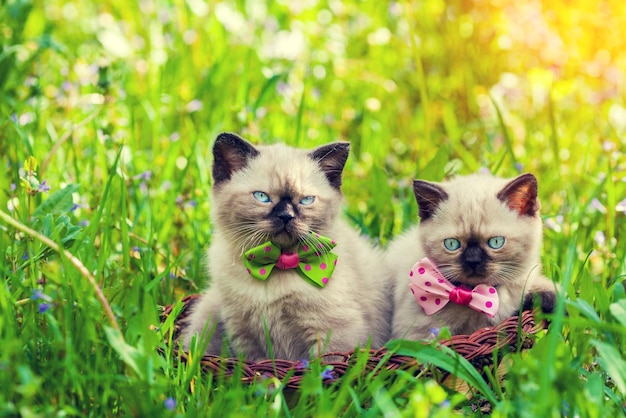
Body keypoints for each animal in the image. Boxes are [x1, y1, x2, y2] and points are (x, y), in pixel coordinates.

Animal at [178, 133, 390, 360]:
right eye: (262, 197)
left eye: (306, 200)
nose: (286, 216)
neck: (278, 263)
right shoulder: (245, 337)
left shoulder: (331, 335)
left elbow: (324, 366)